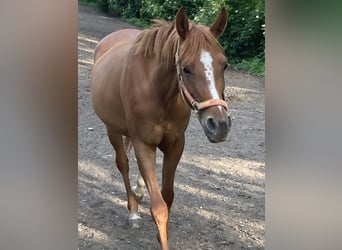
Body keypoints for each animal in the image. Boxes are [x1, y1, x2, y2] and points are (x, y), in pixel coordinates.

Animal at [91, 6, 231, 249]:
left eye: (224, 64)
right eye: (186, 68)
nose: (220, 124)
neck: (157, 90)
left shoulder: (175, 145)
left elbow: (168, 195)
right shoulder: (143, 144)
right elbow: (159, 207)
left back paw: (139, 191)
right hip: (112, 130)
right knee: (123, 164)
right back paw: (133, 211)